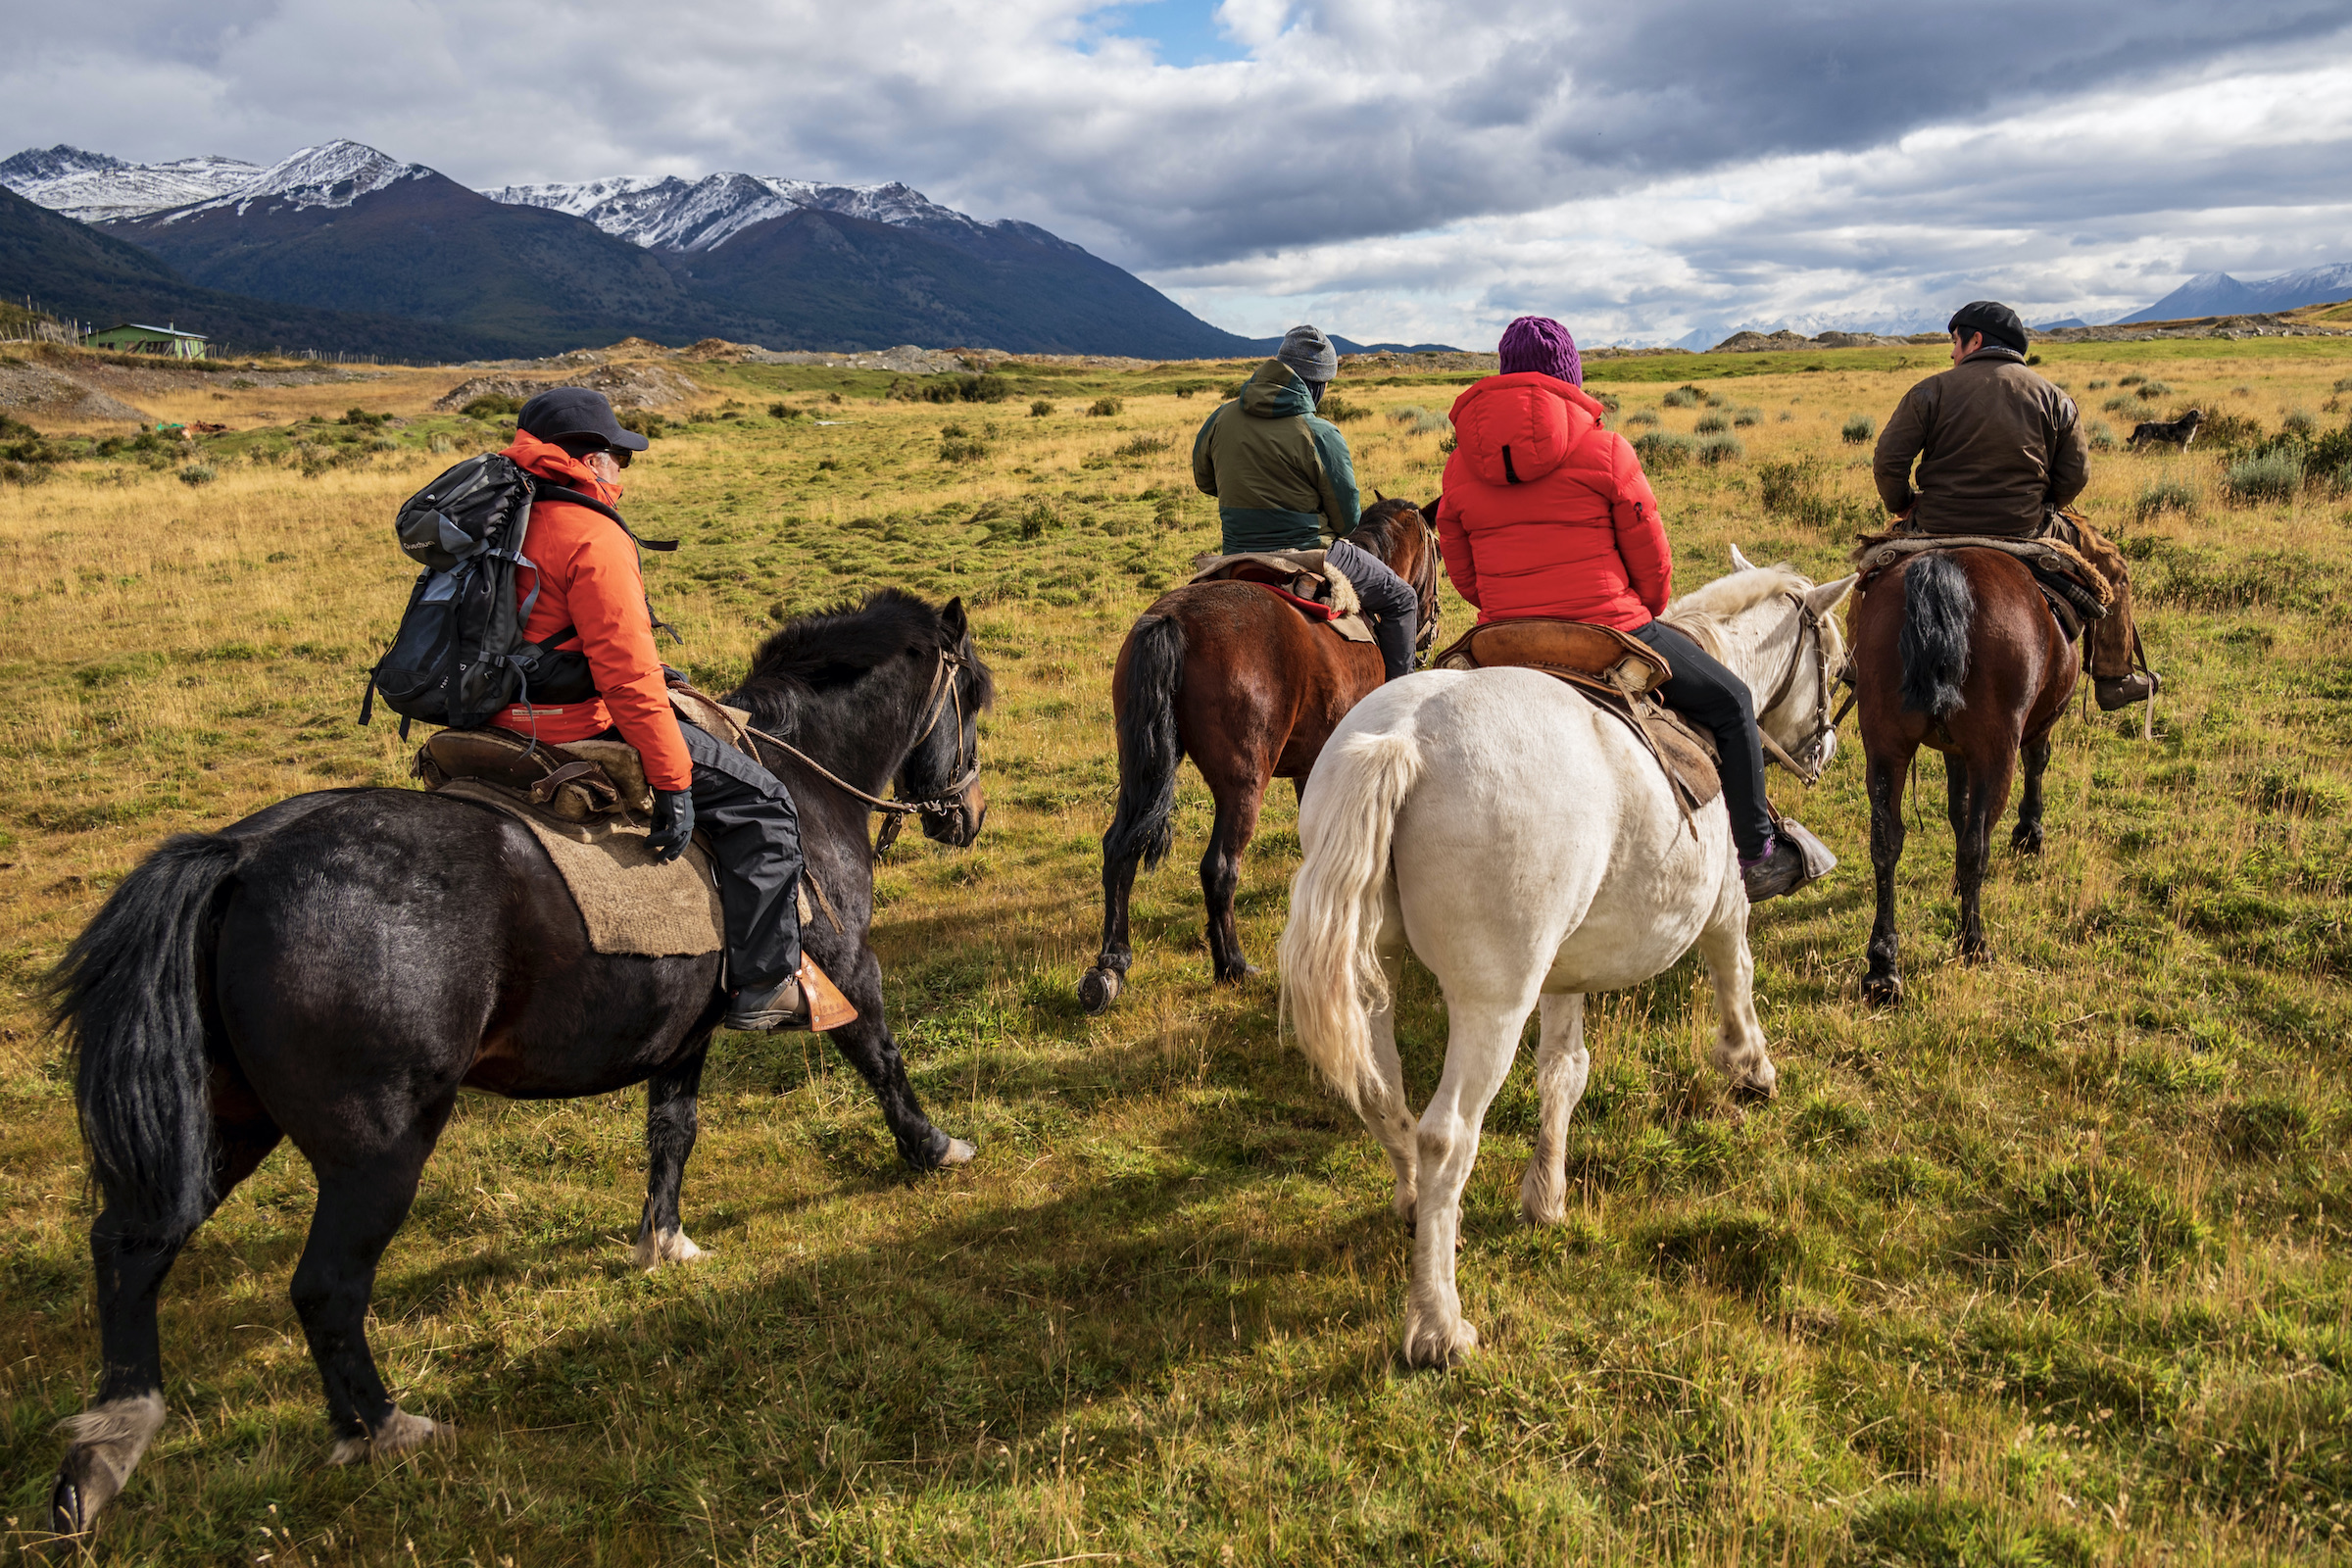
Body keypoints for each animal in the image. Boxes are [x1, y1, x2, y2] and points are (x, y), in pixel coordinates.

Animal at [42, 588, 992, 1536]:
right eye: (973, 700)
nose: (969, 814)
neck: (803, 781)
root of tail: (242, 857)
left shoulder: (682, 1032)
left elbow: (672, 1132)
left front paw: (664, 1241)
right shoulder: (847, 969)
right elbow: (882, 1060)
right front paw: (933, 1148)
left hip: (225, 1121)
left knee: (134, 1247)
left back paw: (106, 1450)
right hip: (375, 1153)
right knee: (325, 1288)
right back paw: (381, 1427)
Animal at [1079, 498, 1441, 1012]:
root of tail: (1175, 620)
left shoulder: (1314, 764)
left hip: (1140, 770)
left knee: (1119, 849)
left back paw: (1112, 964)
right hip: (1243, 783)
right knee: (1220, 867)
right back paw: (1233, 965)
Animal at [1277, 559, 1853, 1368]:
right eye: (1834, 659)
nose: (1825, 749)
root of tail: (1402, 741)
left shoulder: (1563, 971)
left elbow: (1563, 1071)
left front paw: (1545, 1193)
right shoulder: (1723, 906)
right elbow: (1735, 976)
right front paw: (1751, 1068)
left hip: (1374, 975)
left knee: (1380, 1092)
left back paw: (1415, 1207)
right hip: (1493, 1001)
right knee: (1445, 1135)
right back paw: (1438, 1323)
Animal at [1852, 549, 2077, 1005]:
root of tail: (1943, 566)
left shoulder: (1954, 750)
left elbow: (1957, 808)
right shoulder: (2026, 732)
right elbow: (2036, 762)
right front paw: (2030, 832)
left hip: (1885, 746)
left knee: (1885, 841)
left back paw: (1883, 967)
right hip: (1995, 752)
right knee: (1978, 844)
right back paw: (1974, 942)